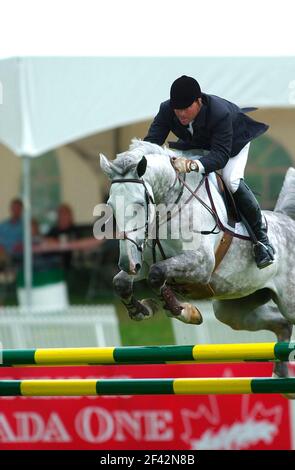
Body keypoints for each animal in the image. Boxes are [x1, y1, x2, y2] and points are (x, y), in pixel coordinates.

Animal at [100, 139, 295, 378]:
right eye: (110, 205)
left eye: (139, 203)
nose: (127, 263)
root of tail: (288, 220)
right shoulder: (143, 264)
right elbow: (122, 282)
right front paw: (143, 309)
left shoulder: (201, 264)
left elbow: (157, 274)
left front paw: (185, 311)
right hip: (234, 309)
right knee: (282, 324)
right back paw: (280, 374)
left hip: (289, 301)